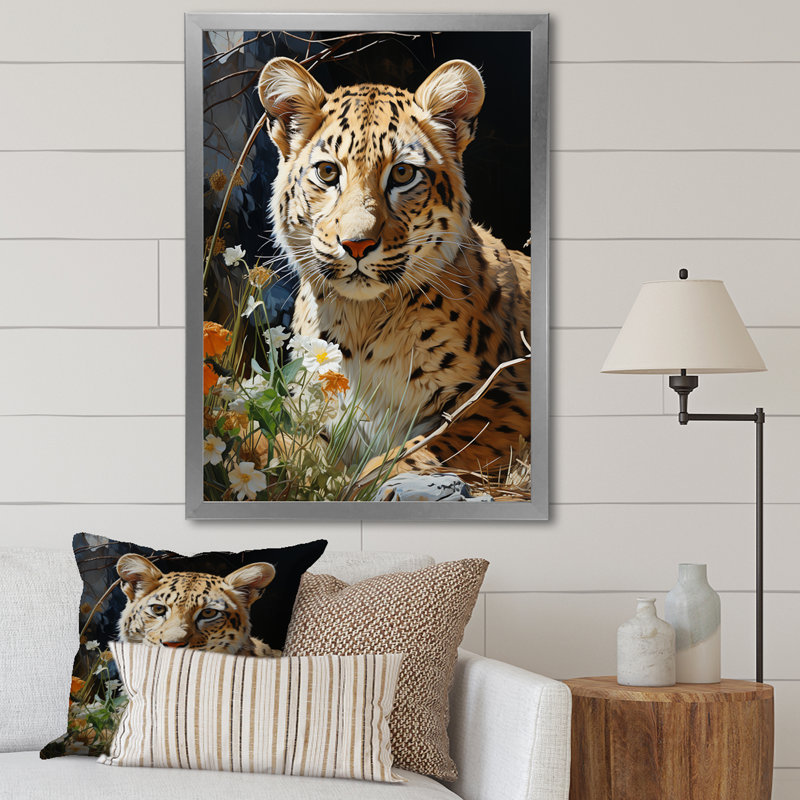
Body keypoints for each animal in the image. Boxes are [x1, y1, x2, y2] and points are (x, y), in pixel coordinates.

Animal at [257, 56, 531, 476]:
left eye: (403, 173)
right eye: (328, 172)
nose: (357, 244)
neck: (360, 322)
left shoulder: (507, 398)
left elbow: (410, 452)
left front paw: (356, 482)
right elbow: (284, 443)